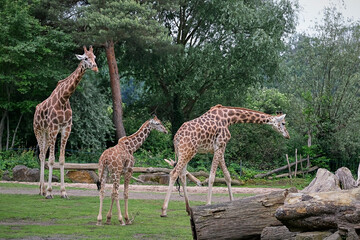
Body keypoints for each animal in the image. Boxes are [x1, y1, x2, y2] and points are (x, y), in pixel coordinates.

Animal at [33, 45, 97, 199]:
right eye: (86, 58)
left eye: (95, 57)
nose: (95, 67)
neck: (64, 98)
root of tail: (36, 109)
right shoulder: (54, 127)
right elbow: (51, 160)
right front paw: (50, 192)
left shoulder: (66, 128)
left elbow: (61, 160)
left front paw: (63, 192)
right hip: (39, 130)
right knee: (42, 156)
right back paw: (42, 190)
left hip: (46, 133)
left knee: (42, 154)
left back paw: (42, 189)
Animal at [160, 104, 290, 217]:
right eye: (283, 123)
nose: (288, 136)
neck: (229, 118)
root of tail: (176, 138)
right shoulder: (220, 146)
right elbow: (212, 177)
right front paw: (208, 204)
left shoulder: (220, 148)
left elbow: (227, 176)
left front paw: (232, 202)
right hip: (187, 151)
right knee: (174, 173)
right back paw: (164, 211)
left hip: (184, 152)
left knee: (182, 175)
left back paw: (188, 209)